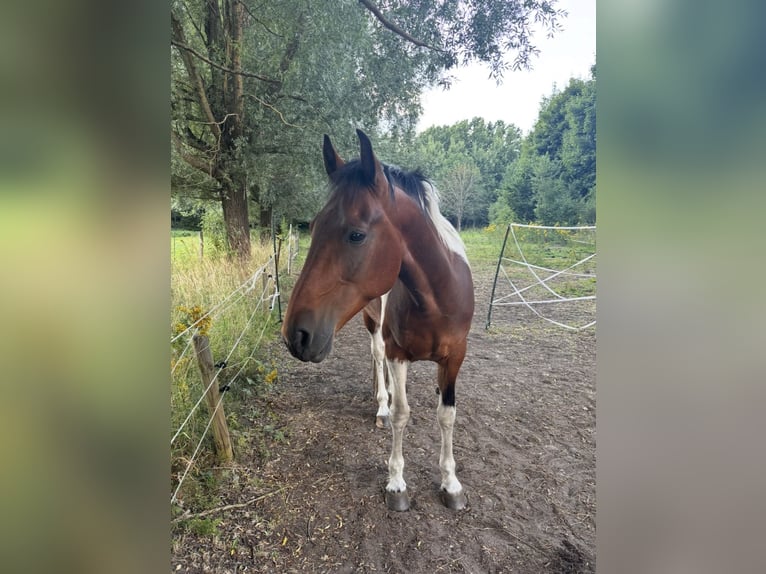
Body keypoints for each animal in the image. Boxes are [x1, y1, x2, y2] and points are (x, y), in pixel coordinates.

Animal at [281, 129, 474, 511]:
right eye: (314, 226)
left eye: (356, 234)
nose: (296, 335)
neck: (438, 296)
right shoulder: (398, 353)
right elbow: (401, 413)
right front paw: (396, 484)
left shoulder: (455, 357)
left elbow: (446, 415)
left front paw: (451, 484)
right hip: (373, 326)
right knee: (377, 357)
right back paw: (380, 403)